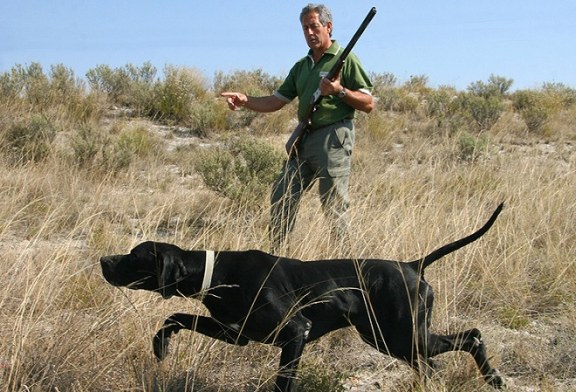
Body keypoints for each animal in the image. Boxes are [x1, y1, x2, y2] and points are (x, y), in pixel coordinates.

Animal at [102, 204, 504, 390]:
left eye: (134, 256)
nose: (104, 260)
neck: (219, 273)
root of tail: (412, 264)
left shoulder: (296, 331)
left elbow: (284, 381)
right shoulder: (235, 332)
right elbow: (176, 318)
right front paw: (161, 345)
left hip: (400, 335)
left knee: (472, 337)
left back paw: (494, 379)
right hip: (388, 337)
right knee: (437, 360)